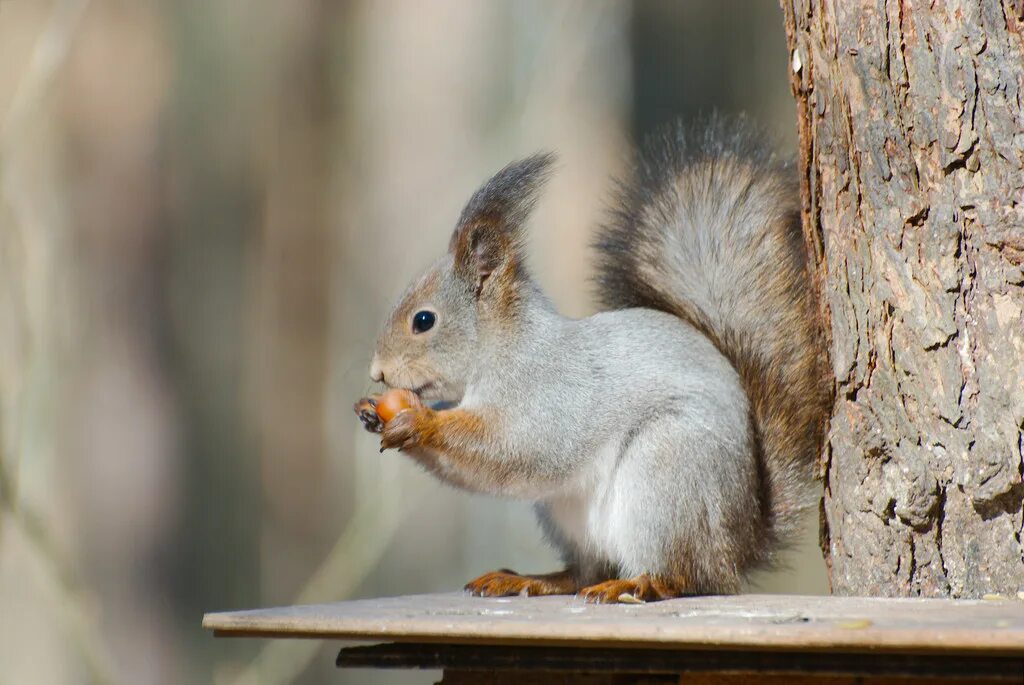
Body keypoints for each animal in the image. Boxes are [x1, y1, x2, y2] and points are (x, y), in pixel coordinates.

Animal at [356, 116, 827, 597]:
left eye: (424, 320)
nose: (377, 372)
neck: (506, 349)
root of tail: (738, 545)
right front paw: (372, 411)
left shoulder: (551, 397)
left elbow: (515, 448)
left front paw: (421, 422)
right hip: (569, 516)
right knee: (586, 571)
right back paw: (532, 579)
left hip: (668, 474)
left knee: (685, 576)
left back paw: (641, 585)